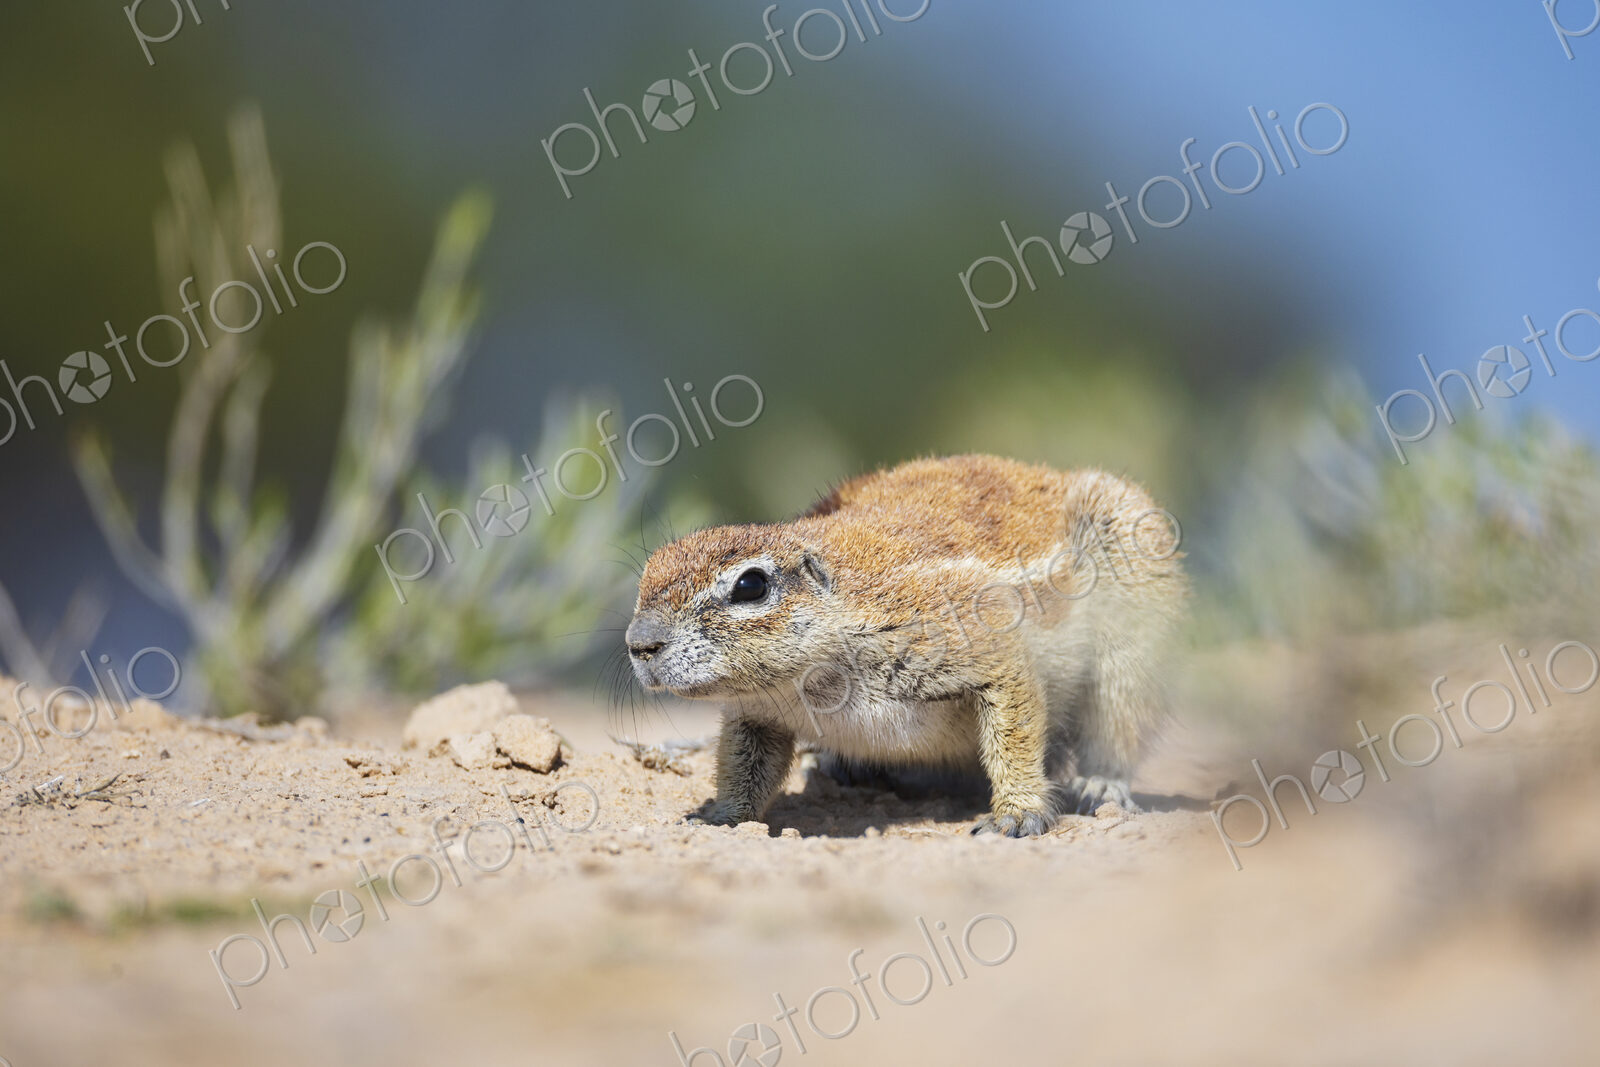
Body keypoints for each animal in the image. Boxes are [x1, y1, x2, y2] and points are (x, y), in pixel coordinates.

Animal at [625, 454, 1187, 837]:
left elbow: (1016, 726)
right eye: (647, 572)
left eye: (751, 586)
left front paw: (1017, 812)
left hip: (1133, 624)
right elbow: (743, 765)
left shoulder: (966, 638)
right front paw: (720, 814)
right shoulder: (754, 711)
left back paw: (1102, 783)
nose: (639, 644)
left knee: (1119, 722)